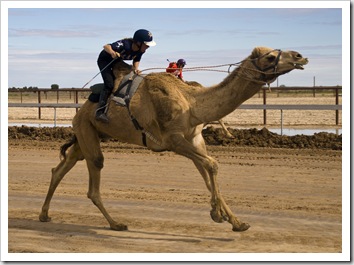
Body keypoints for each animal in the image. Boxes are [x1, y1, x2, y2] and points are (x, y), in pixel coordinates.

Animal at [40, 46, 308, 230]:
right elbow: (212, 165)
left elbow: (207, 171)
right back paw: (116, 224)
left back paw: (44, 214)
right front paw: (218, 214)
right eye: (270, 57)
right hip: (87, 131)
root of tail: (82, 110)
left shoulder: (195, 139)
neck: (193, 102)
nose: (299, 56)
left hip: (88, 135)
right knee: (93, 178)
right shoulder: (172, 140)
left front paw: (234, 220)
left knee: (60, 168)